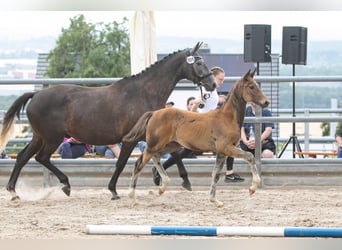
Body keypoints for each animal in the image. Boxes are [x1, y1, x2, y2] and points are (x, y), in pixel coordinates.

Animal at [0, 42, 216, 200]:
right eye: (198, 63)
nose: (212, 84)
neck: (143, 93)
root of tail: (35, 95)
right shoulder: (131, 139)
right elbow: (121, 163)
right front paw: (113, 190)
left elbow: (176, 155)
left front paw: (175, 180)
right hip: (52, 138)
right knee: (41, 158)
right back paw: (65, 185)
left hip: (39, 136)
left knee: (23, 158)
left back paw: (14, 191)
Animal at [123, 69, 270, 207]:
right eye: (251, 86)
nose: (266, 102)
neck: (227, 118)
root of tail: (154, 113)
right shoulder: (226, 148)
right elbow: (250, 156)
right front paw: (252, 188)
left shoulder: (222, 152)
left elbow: (216, 175)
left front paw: (215, 200)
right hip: (155, 144)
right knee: (139, 164)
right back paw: (133, 198)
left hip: (171, 145)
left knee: (156, 157)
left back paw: (162, 187)